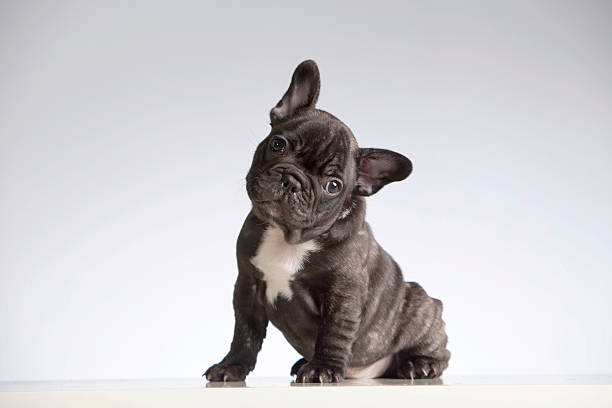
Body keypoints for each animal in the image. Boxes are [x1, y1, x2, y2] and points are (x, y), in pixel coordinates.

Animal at [206, 59, 450, 382]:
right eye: (278, 144)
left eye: (333, 185)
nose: (291, 180)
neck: (288, 237)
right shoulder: (248, 285)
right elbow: (244, 333)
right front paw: (232, 366)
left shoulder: (343, 294)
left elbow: (334, 333)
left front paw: (324, 368)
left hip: (420, 305)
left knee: (439, 350)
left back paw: (420, 365)